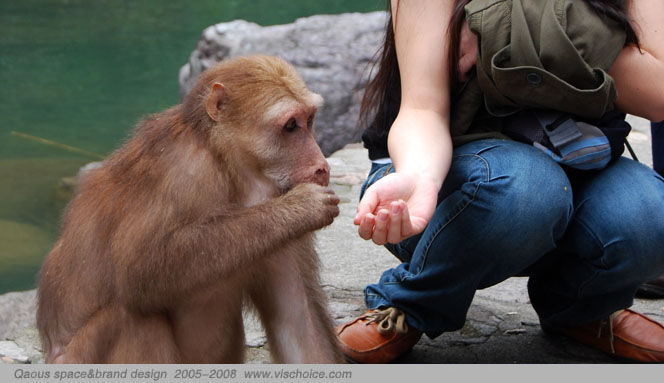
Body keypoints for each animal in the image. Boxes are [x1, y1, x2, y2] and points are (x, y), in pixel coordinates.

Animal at [36, 55, 344, 364]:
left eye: (309, 120)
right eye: (291, 126)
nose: (321, 166)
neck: (230, 166)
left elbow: (297, 321)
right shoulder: (185, 171)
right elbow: (139, 267)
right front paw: (301, 207)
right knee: (132, 313)